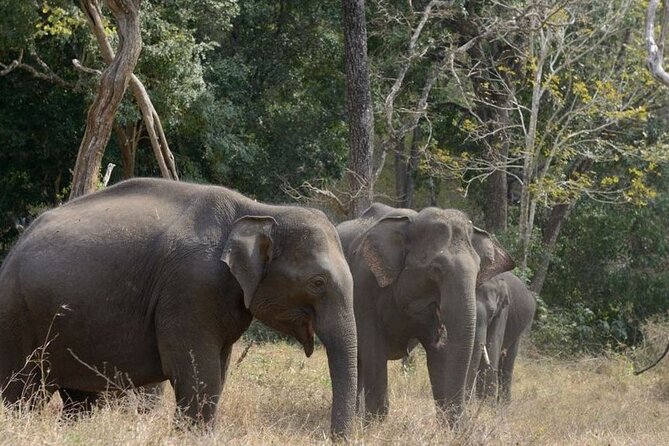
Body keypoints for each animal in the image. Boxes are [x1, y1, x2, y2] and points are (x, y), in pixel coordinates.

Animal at [0, 178, 357, 438]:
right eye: (317, 282)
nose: (332, 437)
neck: (260, 210)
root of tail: (14, 249)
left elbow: (218, 370)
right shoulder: (190, 288)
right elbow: (198, 372)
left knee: (79, 399)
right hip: (16, 315)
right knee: (22, 392)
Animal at [336, 203, 514, 426]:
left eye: (478, 272)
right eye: (436, 269)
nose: (466, 424)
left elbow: (440, 352)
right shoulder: (364, 286)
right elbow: (373, 348)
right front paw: (375, 424)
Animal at [467, 272, 536, 403]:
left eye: (492, 312)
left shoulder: (503, 310)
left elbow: (493, 346)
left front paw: (487, 404)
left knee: (507, 364)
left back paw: (503, 405)